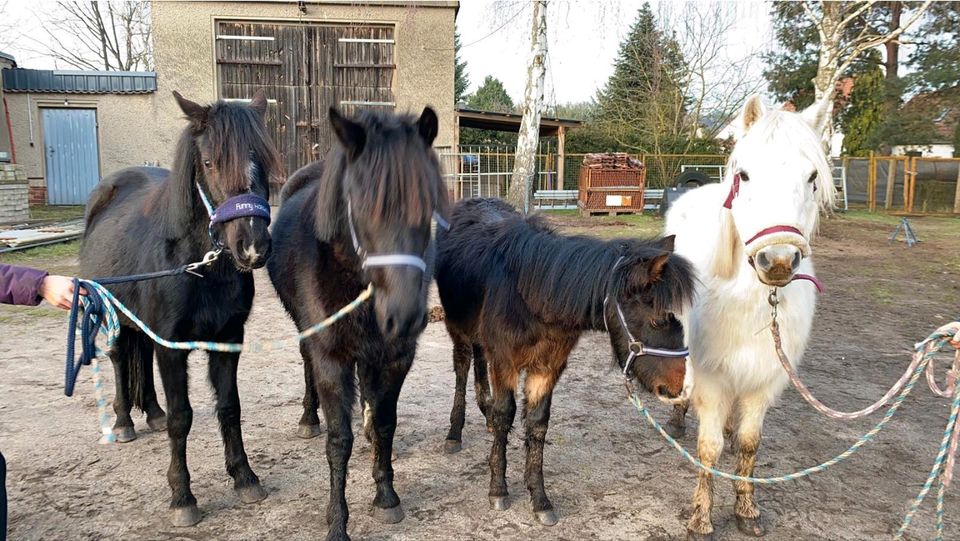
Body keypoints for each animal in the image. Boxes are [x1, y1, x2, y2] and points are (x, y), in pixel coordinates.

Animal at [79, 90, 282, 524]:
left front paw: (245, 478)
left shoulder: (228, 341)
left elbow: (229, 407)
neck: (198, 267)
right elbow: (181, 417)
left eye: (262, 157)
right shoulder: (171, 347)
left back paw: (150, 413)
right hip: (113, 316)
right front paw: (182, 496)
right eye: (209, 163)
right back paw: (124, 422)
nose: (253, 247)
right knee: (120, 358)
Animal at [266, 106, 446, 540]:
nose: (404, 317)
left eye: (429, 204)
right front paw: (337, 521)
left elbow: (385, 422)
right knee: (306, 365)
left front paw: (386, 496)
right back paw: (308, 419)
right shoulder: (332, 358)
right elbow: (338, 440)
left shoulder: (396, 356)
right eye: (360, 208)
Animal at [438, 196, 692, 524]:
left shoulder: (547, 368)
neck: (532, 295)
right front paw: (498, 490)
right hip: (457, 329)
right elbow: (506, 413)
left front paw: (539, 499)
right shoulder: (505, 362)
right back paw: (454, 433)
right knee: (462, 367)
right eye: (660, 319)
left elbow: (537, 423)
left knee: (480, 363)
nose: (679, 387)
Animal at [664, 95, 836, 536]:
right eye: (744, 175)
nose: (777, 261)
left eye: (812, 177)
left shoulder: (766, 378)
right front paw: (701, 519)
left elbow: (748, 444)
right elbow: (708, 448)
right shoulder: (711, 375)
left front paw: (746, 510)